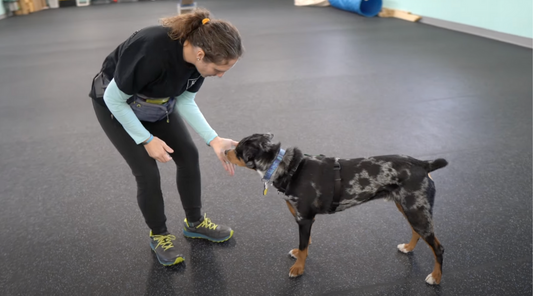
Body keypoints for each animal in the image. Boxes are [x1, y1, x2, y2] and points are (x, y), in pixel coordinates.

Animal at [225, 134, 448, 284]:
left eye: (238, 152)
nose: (225, 151)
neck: (288, 168)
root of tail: (423, 164)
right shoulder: (304, 219)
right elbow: (304, 244)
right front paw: (298, 254)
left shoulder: (305, 219)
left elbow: (304, 247)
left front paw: (298, 269)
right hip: (409, 209)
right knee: (416, 233)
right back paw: (408, 248)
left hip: (416, 212)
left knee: (438, 248)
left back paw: (436, 277)